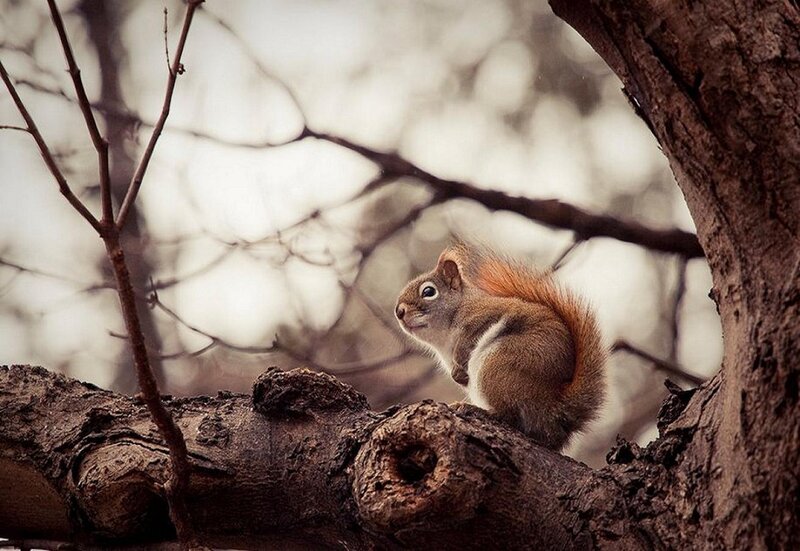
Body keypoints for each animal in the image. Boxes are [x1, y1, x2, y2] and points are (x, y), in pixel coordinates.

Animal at [394, 243, 606, 451]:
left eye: (428, 292)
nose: (399, 312)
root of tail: (554, 413)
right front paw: (458, 375)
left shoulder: (483, 316)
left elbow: (468, 342)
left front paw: (459, 370)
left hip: (499, 365)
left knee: (509, 415)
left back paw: (477, 410)